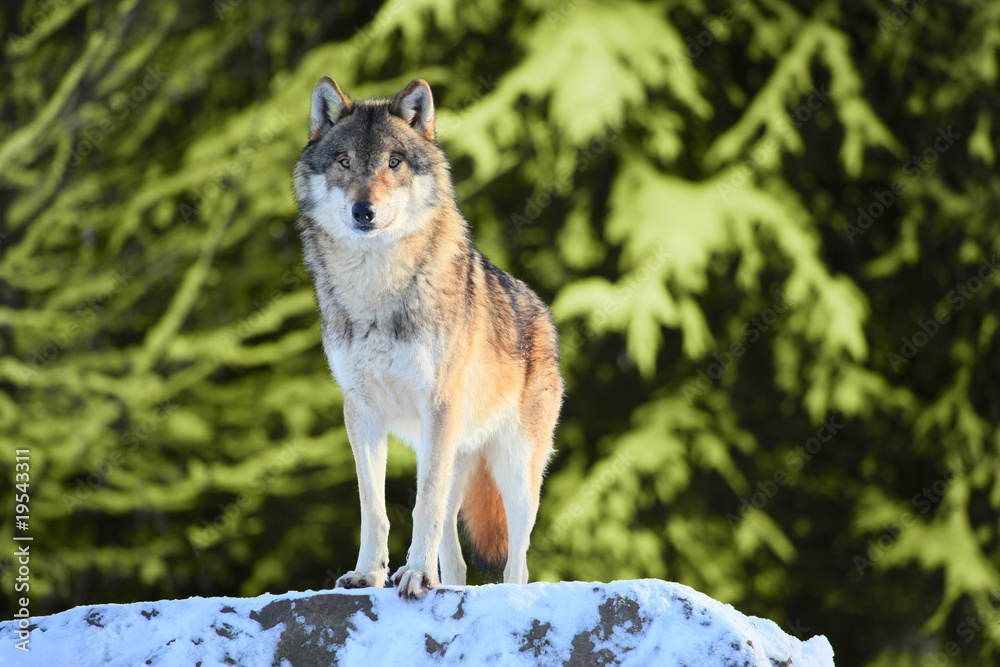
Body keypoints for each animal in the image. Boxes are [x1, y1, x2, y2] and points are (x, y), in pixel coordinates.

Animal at [292, 77, 564, 599]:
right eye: (344, 162)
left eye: (394, 162)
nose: (364, 211)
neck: (375, 288)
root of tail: (542, 313)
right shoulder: (360, 412)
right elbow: (373, 510)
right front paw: (369, 574)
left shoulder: (437, 405)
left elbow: (423, 507)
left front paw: (414, 574)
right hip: (450, 456)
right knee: (455, 559)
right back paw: (446, 586)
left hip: (515, 472)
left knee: (516, 562)